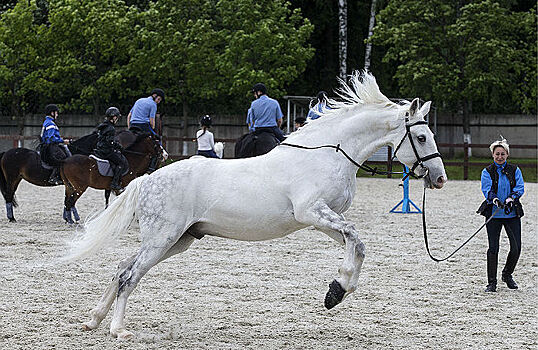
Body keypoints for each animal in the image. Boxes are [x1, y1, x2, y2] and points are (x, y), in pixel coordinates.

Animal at [66, 72, 444, 340]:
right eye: (421, 137)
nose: (439, 178)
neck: (329, 153)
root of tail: (146, 179)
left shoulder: (322, 220)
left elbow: (357, 243)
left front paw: (336, 291)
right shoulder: (313, 212)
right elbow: (355, 236)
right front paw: (337, 290)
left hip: (177, 240)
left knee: (121, 268)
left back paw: (93, 321)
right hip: (163, 238)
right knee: (130, 275)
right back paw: (118, 329)